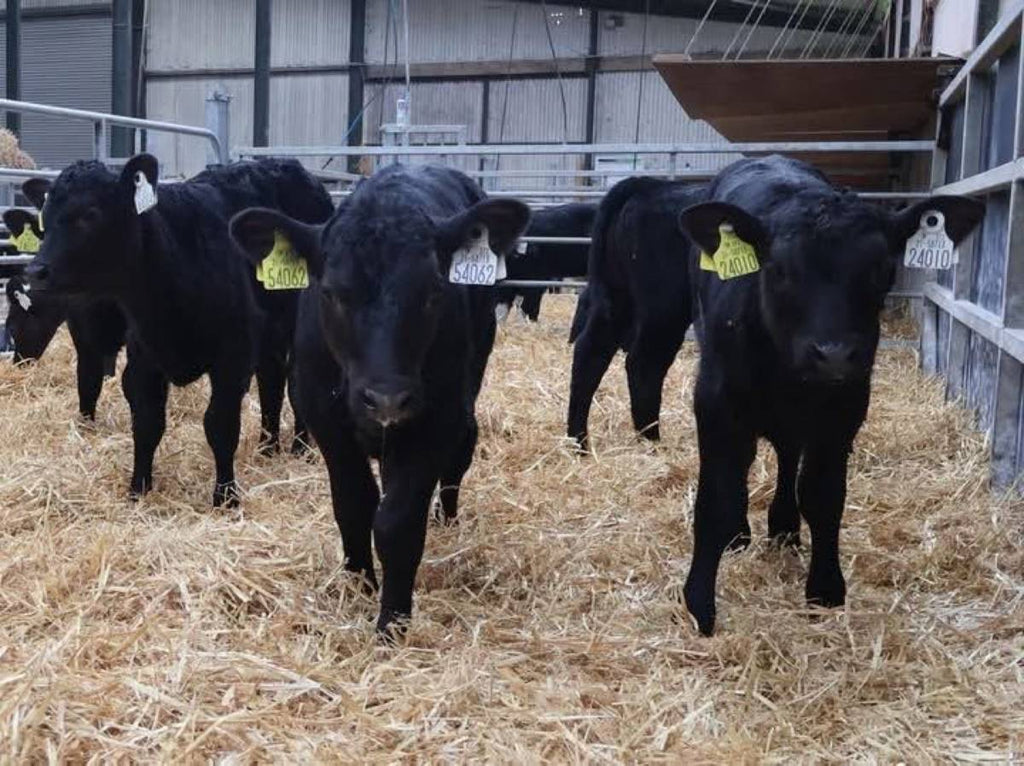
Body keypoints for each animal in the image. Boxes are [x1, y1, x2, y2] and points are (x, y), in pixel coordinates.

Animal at [25, 155, 334, 506]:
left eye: (90, 213)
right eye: (45, 217)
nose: (35, 271)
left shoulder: (233, 355)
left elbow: (220, 425)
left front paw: (226, 496)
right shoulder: (143, 355)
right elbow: (147, 423)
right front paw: (138, 490)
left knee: (294, 384)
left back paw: (300, 448)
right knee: (272, 380)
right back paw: (268, 448)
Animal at [230, 164, 530, 637]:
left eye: (433, 293)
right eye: (332, 293)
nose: (386, 398)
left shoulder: (433, 420)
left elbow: (397, 521)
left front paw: (393, 622)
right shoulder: (327, 421)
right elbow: (353, 505)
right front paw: (360, 587)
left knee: (460, 454)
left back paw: (447, 519)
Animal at [566, 177, 707, 450]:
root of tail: (649, 185)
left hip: (615, 296)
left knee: (590, 353)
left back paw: (579, 442)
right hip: (664, 306)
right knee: (645, 362)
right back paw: (651, 439)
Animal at [676, 155, 984, 635]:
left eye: (881, 269)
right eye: (778, 269)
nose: (834, 354)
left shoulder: (845, 410)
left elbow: (822, 496)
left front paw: (825, 588)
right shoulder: (716, 404)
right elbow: (717, 498)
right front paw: (700, 604)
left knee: (787, 457)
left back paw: (784, 528)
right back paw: (743, 534)